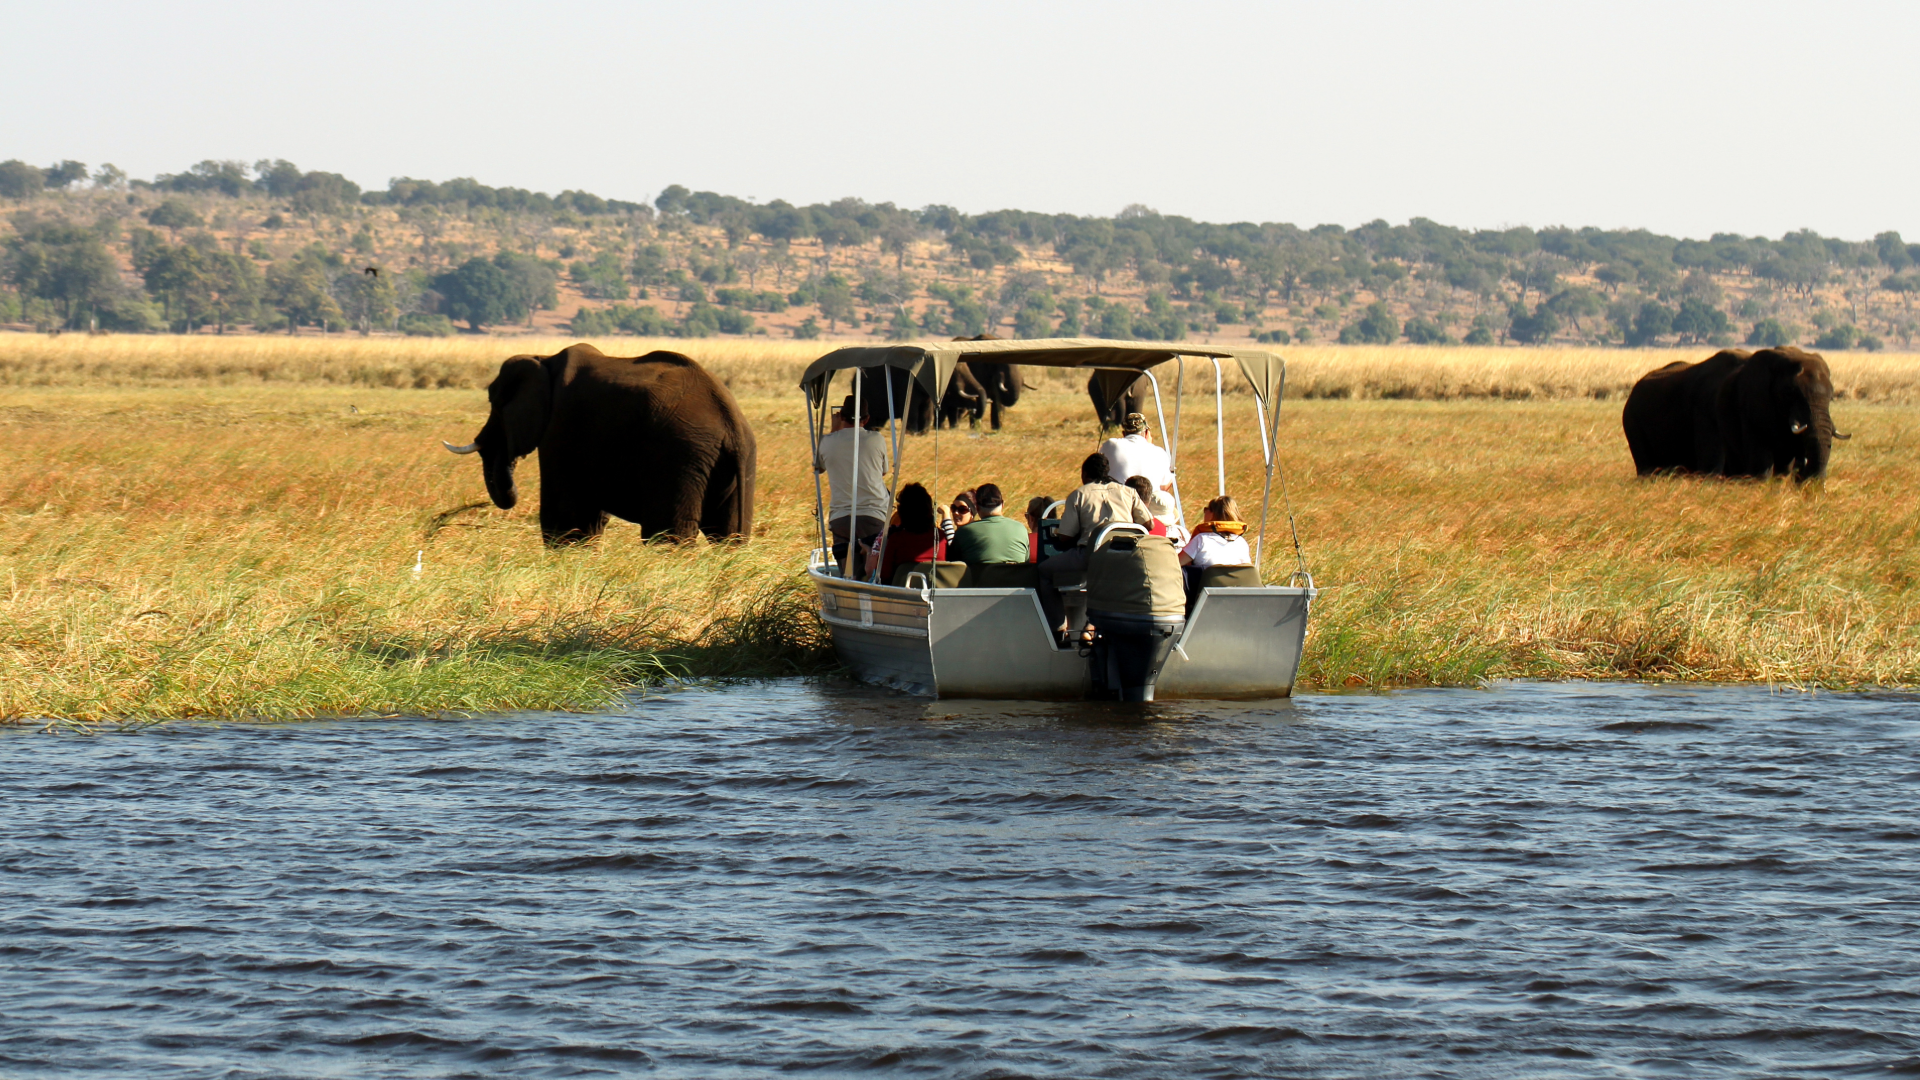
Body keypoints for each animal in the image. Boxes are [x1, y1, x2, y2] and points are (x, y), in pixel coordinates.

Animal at [443, 343, 756, 541]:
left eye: (494, 402)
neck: (543, 358)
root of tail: (731, 424)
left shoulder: (560, 426)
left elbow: (565, 517)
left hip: (680, 456)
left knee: (668, 534)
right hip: (732, 461)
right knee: (729, 534)